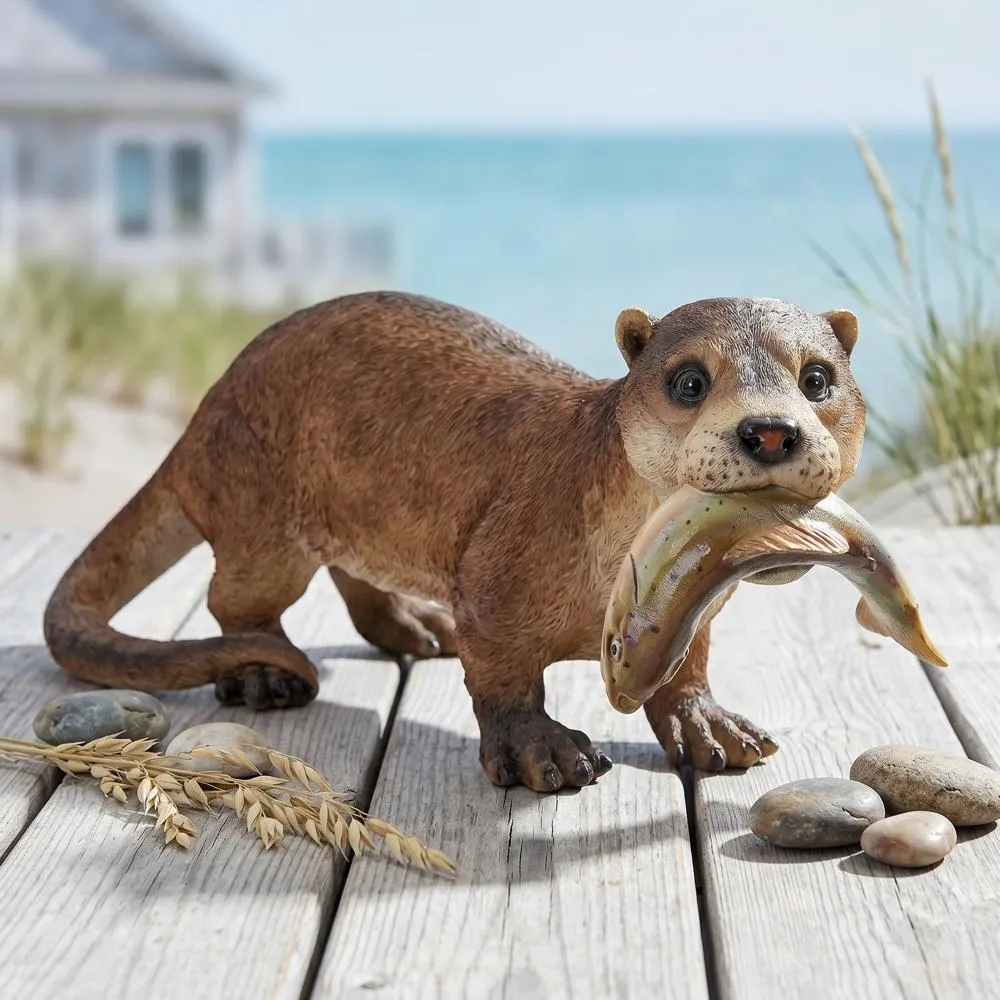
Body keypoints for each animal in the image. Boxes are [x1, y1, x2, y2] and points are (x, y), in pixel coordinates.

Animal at [42, 292, 866, 793]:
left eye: (817, 379)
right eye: (689, 381)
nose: (769, 430)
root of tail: (203, 411)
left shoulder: (693, 611)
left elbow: (687, 667)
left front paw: (708, 725)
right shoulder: (497, 575)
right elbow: (502, 674)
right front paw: (543, 750)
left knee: (355, 578)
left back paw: (416, 627)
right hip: (262, 515)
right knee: (236, 599)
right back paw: (265, 675)